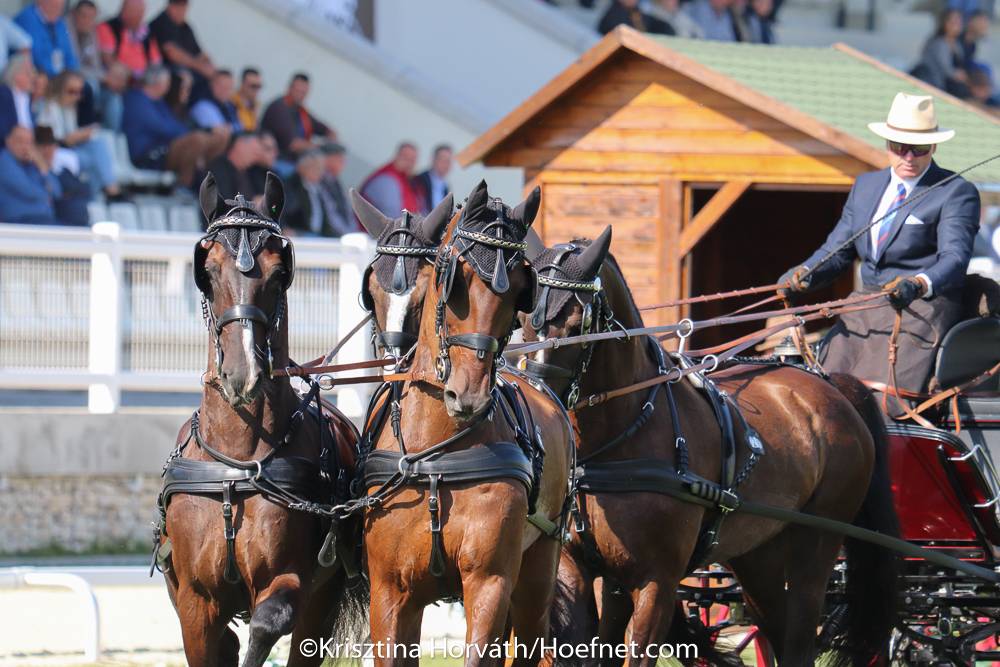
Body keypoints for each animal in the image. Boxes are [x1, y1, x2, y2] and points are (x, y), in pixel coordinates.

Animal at [155, 173, 367, 667]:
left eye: (278, 272)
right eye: (209, 270)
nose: (244, 372)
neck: (237, 461)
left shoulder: (290, 580)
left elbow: (269, 622)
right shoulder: (194, 601)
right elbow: (211, 643)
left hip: (322, 600)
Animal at [355, 181, 574, 666]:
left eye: (520, 292)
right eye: (454, 276)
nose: (467, 394)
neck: (434, 455)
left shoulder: (489, 581)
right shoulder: (390, 591)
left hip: (539, 568)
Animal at [517, 232, 898, 666]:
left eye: (575, 323)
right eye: (525, 322)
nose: (538, 398)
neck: (619, 438)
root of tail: (832, 386)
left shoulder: (657, 582)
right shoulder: (584, 570)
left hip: (815, 546)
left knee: (801, 637)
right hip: (758, 554)